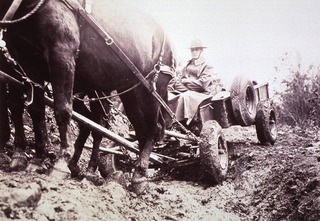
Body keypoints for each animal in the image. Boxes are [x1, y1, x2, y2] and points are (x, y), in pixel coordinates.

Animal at [0, 0, 175, 193]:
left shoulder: (62, 53)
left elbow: (62, 110)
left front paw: (61, 162)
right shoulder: (27, 61)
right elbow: (35, 109)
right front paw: (36, 159)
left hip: (150, 88)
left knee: (152, 128)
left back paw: (135, 173)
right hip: (130, 92)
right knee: (137, 128)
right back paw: (137, 174)